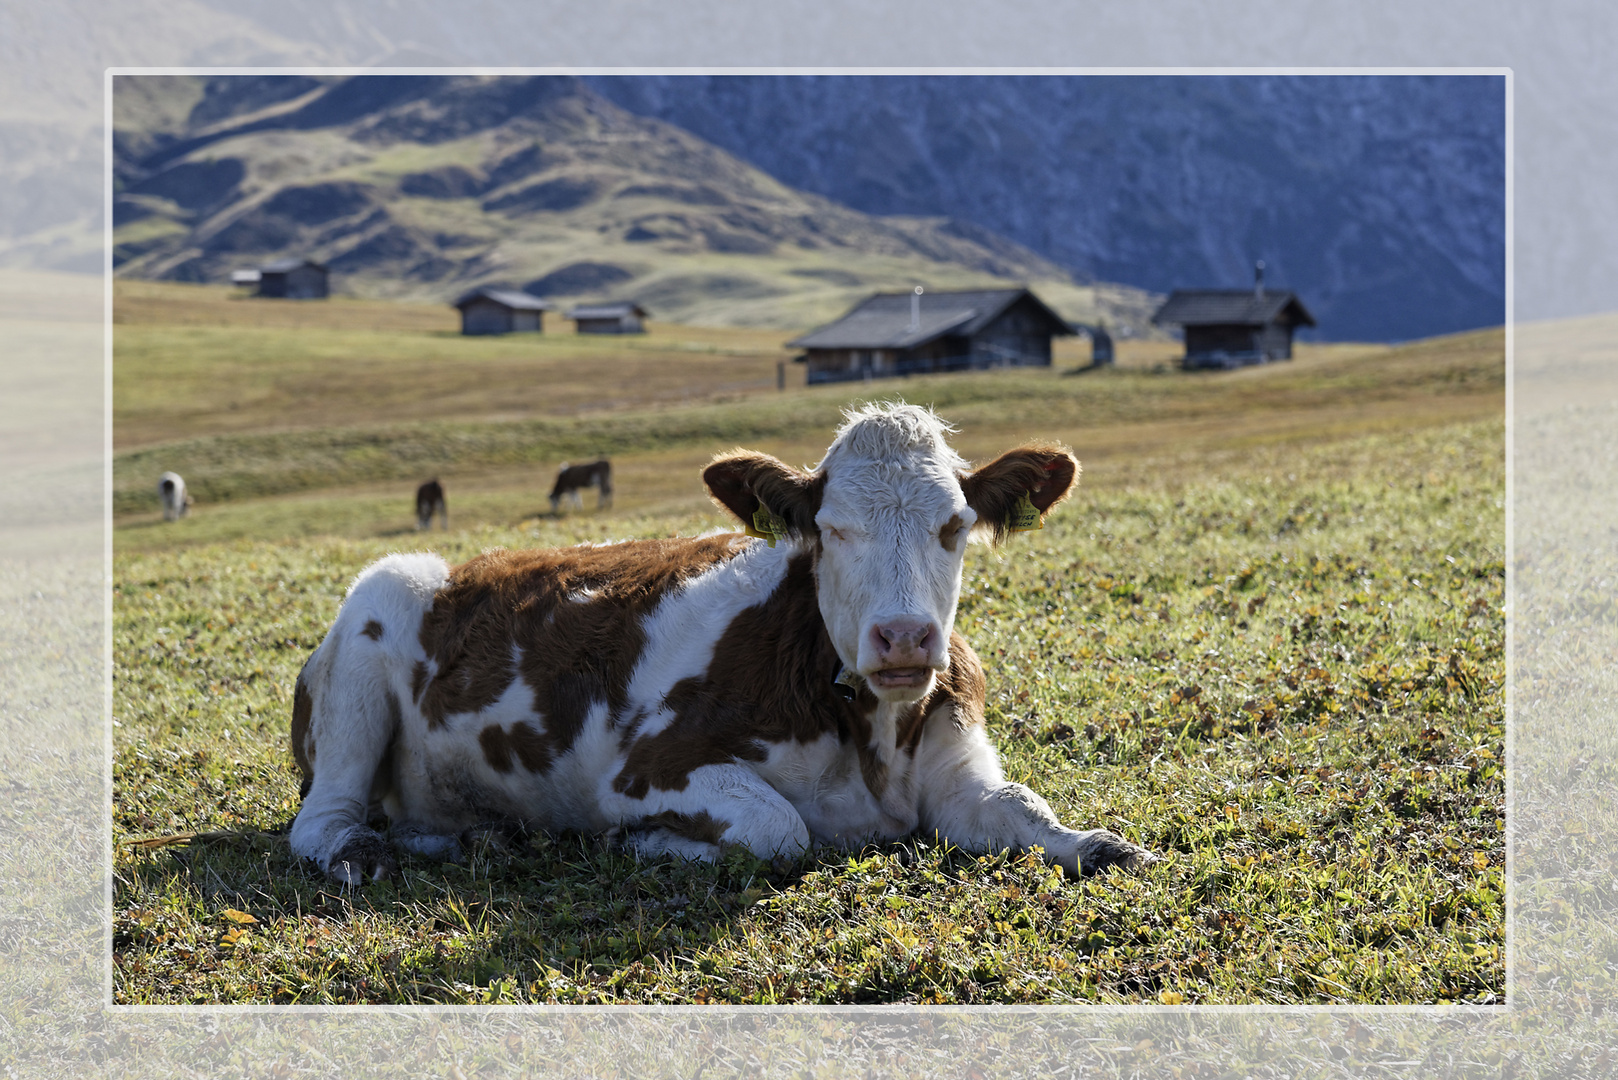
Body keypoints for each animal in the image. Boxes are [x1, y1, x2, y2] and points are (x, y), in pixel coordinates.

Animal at [288, 404, 1152, 887]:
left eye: (955, 525)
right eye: (832, 528)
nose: (904, 635)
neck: (864, 732)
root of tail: (465, 566)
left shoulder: (956, 762)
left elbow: (1019, 805)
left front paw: (1096, 844)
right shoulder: (647, 768)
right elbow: (780, 829)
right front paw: (649, 844)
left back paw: (479, 837)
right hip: (373, 616)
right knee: (322, 819)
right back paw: (362, 852)